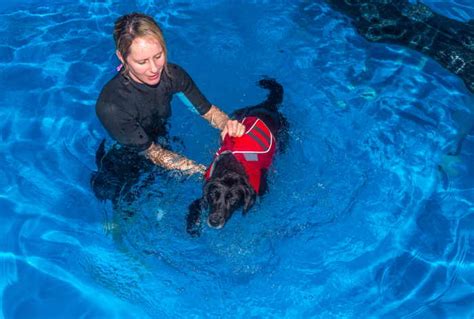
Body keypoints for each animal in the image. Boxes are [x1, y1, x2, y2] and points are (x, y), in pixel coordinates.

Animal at [187, 79, 286, 236]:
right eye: (213, 195)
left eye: (233, 200)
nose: (214, 221)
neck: (231, 168)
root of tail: (267, 106)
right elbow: (195, 205)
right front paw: (192, 226)